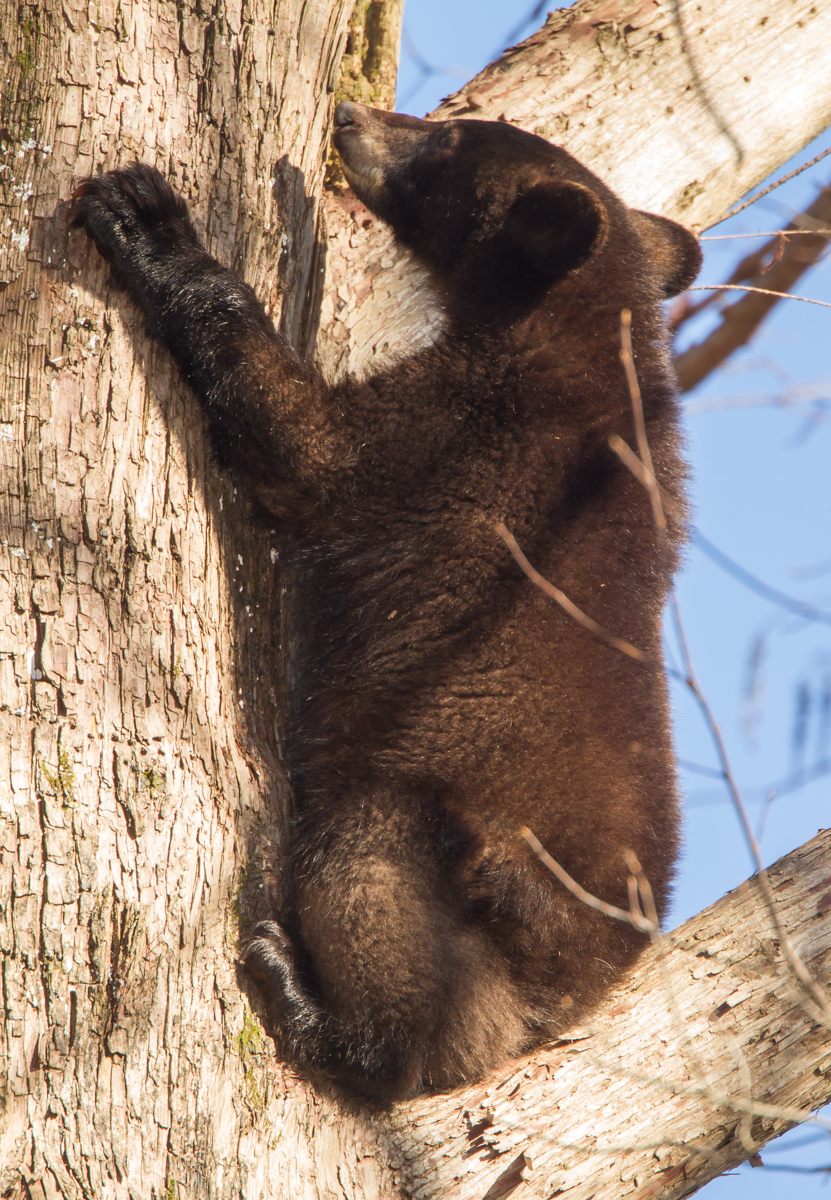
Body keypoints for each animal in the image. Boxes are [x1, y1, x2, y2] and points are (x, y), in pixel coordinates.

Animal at [69, 101, 701, 1103]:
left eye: (450, 142)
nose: (351, 115)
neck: (575, 344)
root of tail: (580, 980)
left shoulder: (455, 438)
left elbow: (304, 445)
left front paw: (149, 222)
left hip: (437, 835)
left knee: (370, 887)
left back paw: (316, 1009)